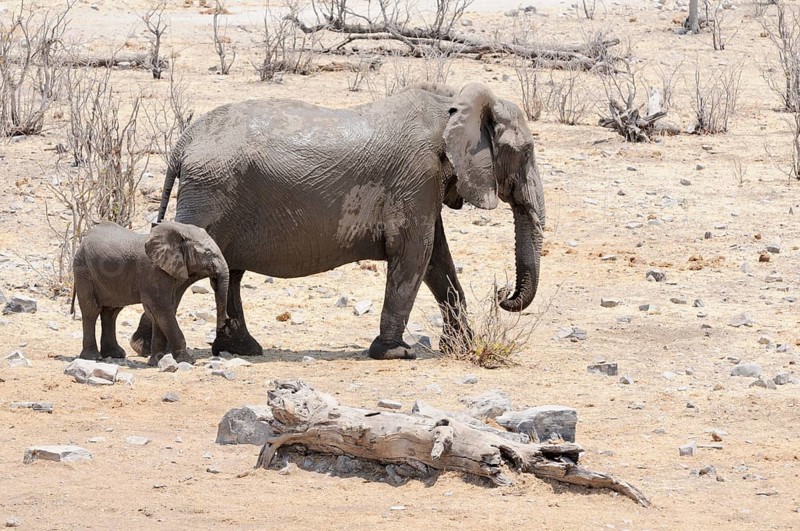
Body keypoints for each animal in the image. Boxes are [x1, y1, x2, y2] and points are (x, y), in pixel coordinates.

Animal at [72, 221, 230, 366]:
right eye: (208, 253)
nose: (225, 323)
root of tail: (82, 241)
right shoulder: (153, 271)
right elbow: (162, 309)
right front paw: (187, 361)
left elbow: (160, 313)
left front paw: (156, 361)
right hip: (83, 271)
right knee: (91, 310)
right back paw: (92, 357)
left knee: (111, 312)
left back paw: (115, 355)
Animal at [131, 82, 545, 360]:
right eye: (525, 152)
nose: (503, 295)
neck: (450, 103)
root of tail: (181, 145)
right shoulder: (416, 178)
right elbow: (415, 253)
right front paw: (395, 353)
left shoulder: (424, 187)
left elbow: (437, 258)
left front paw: (461, 347)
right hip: (210, 194)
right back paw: (147, 348)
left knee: (228, 271)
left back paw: (236, 349)